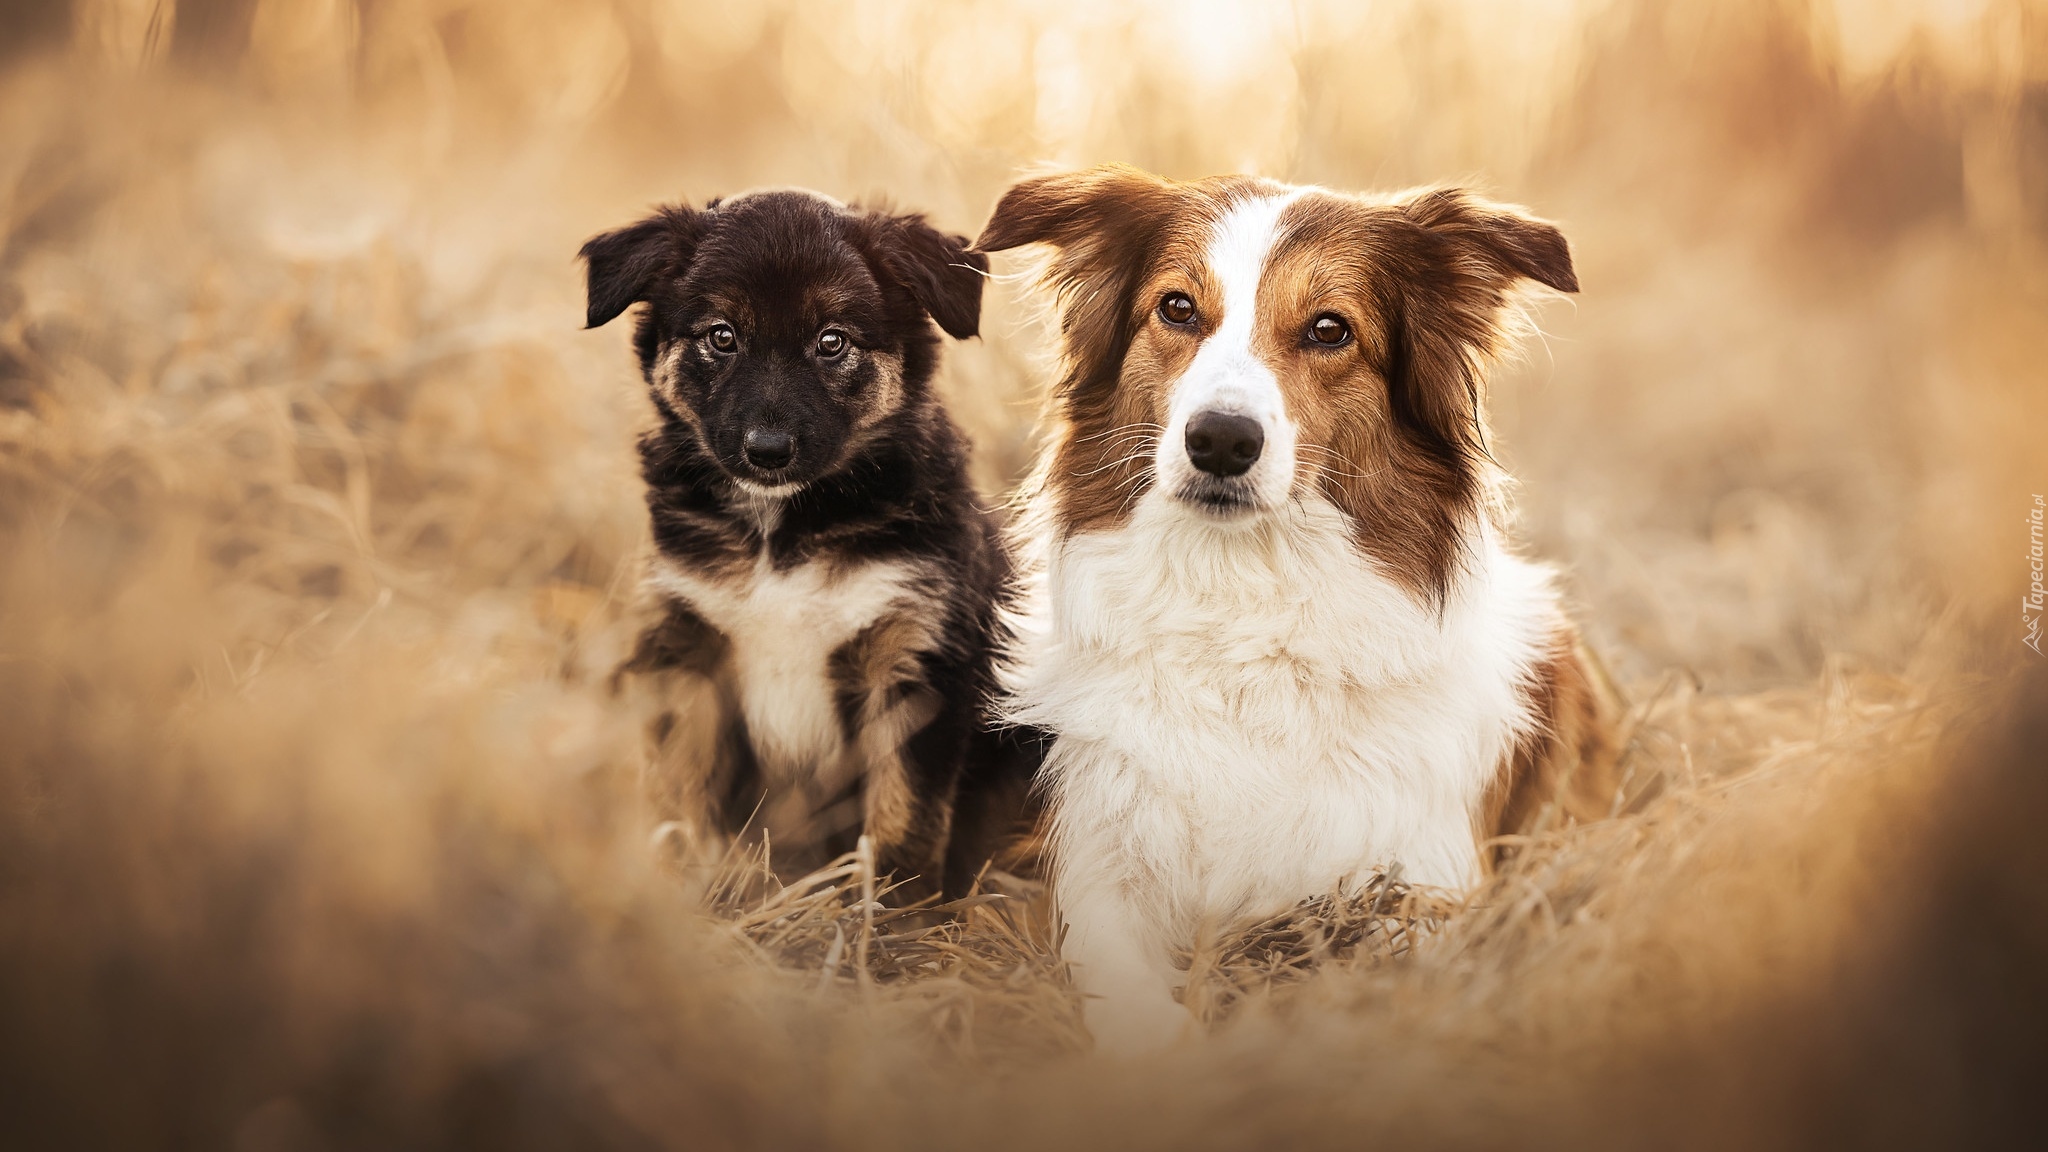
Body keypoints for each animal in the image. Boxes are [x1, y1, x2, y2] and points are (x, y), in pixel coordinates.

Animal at [581, 188, 1032, 893]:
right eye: (722, 336)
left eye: (831, 342)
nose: (767, 451)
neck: (781, 532)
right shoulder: (688, 650)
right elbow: (681, 788)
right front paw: (690, 882)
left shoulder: (917, 655)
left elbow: (903, 813)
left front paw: (889, 907)